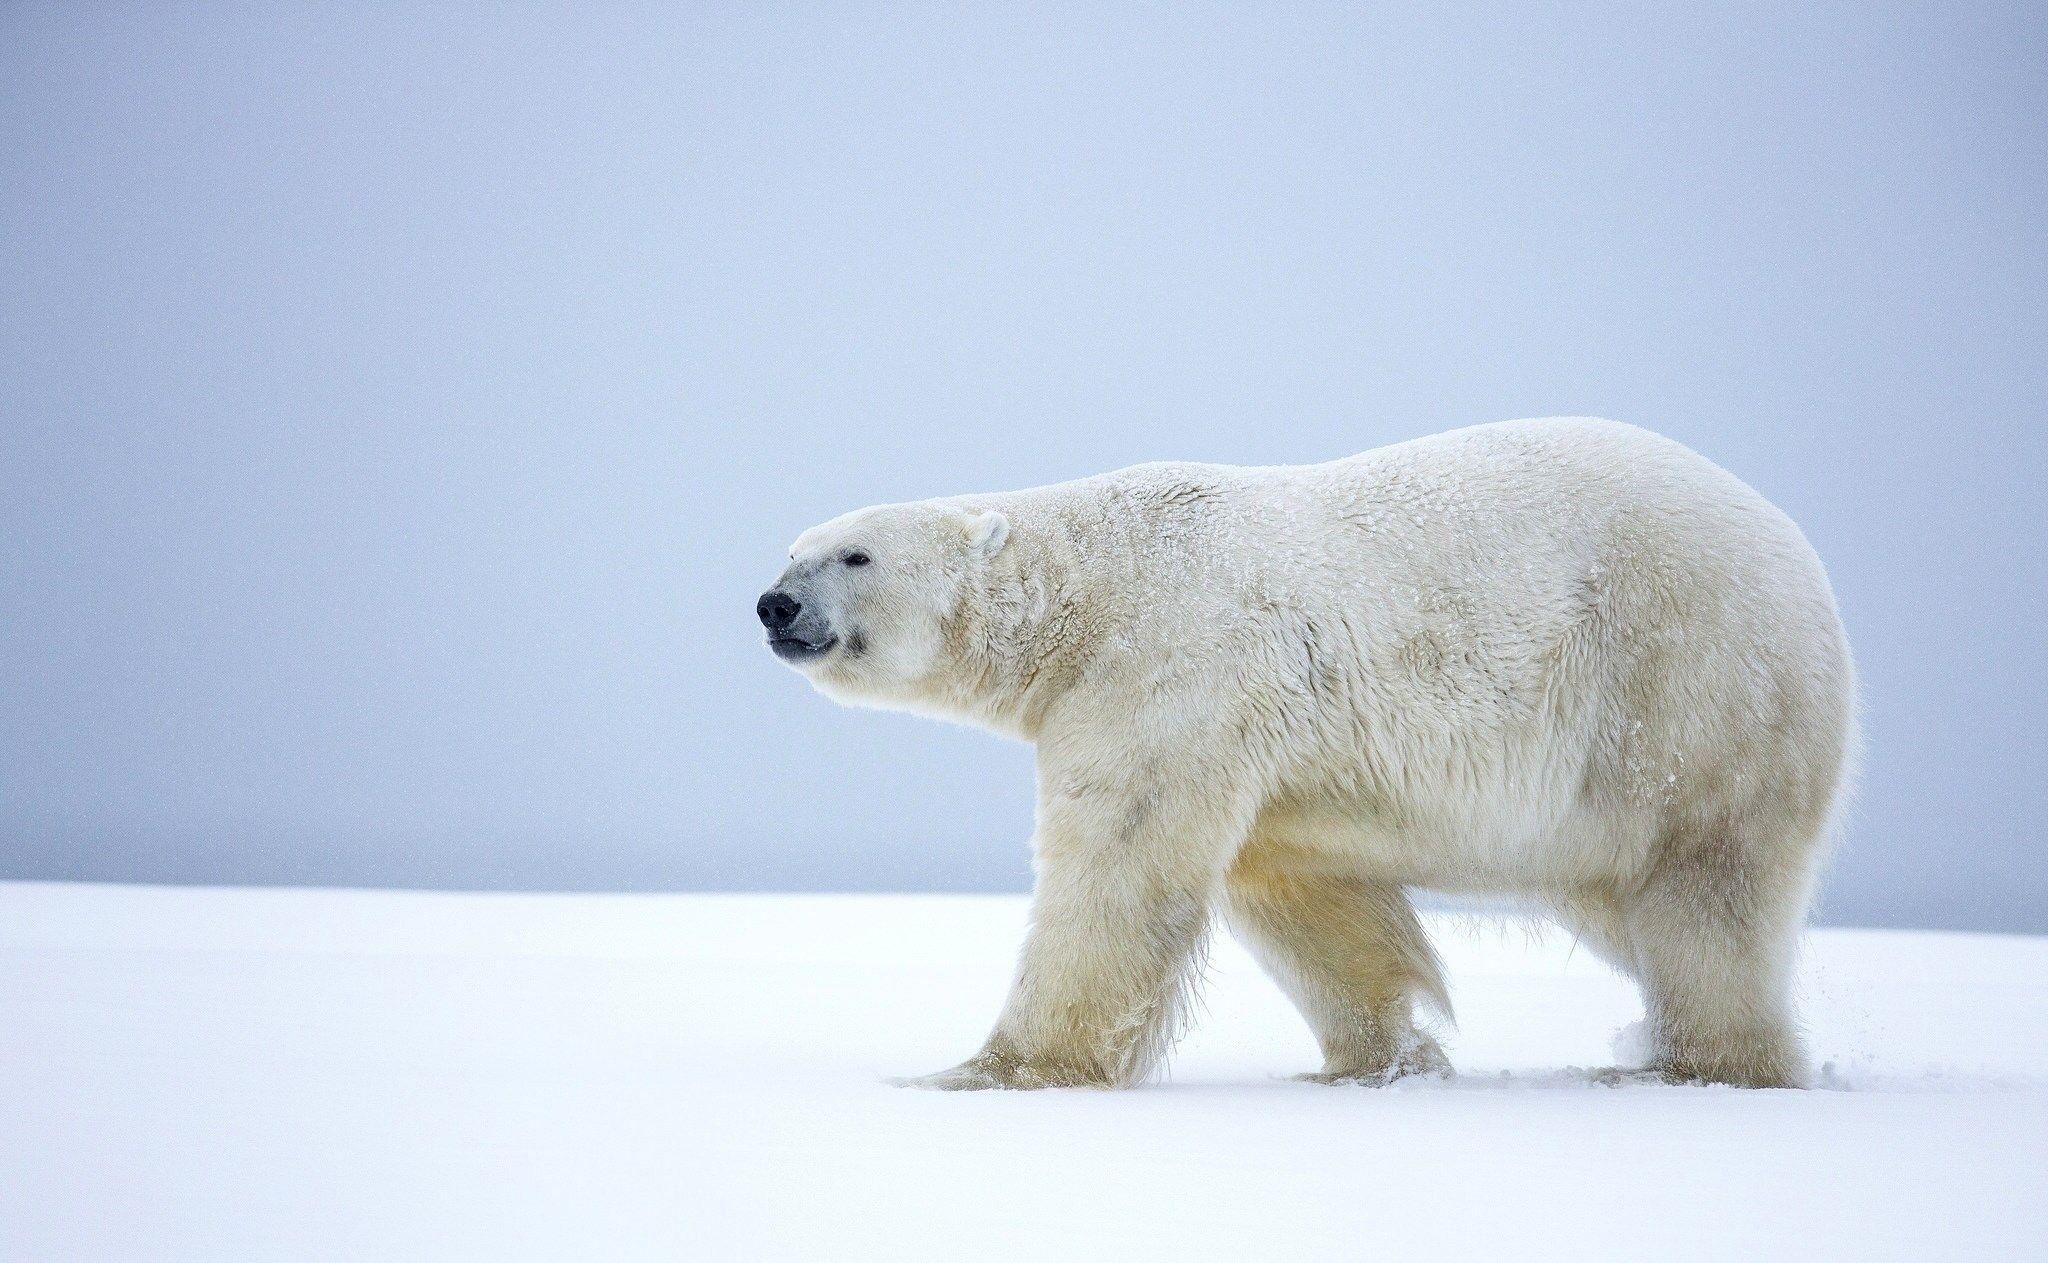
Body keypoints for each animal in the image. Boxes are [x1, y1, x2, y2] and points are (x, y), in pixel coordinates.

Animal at [756, 417, 1856, 1090]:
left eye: (854, 553)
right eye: (790, 550)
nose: (774, 605)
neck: (1091, 588)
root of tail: (1801, 563)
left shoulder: (1165, 667)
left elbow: (1118, 871)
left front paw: (989, 1069)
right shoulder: (1266, 748)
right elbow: (1301, 890)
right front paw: (1374, 1059)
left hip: (1689, 687)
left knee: (1704, 895)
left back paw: (1691, 1063)